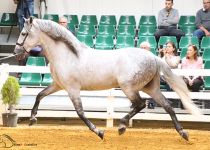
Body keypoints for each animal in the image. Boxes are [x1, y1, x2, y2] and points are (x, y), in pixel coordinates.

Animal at [13, 17, 201, 141]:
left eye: (23, 33)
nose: (16, 52)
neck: (67, 55)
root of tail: (154, 57)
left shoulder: (72, 89)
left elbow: (80, 113)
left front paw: (99, 132)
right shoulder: (58, 85)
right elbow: (39, 95)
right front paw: (32, 119)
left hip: (129, 88)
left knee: (140, 104)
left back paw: (122, 126)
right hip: (150, 87)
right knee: (168, 106)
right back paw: (183, 133)